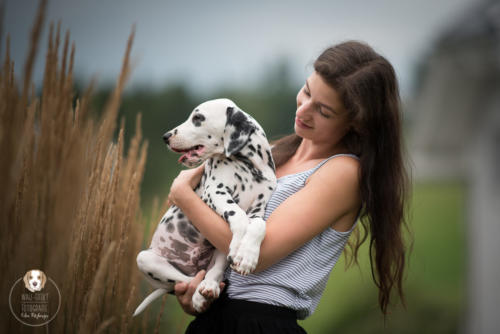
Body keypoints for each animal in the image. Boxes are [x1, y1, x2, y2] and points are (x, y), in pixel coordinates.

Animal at [134, 98, 278, 316]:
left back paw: (210, 286)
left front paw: (247, 256)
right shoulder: (215, 192)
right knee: (187, 281)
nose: (166, 137)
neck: (250, 167)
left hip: (218, 251)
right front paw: (238, 246)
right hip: (145, 259)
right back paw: (200, 293)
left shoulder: (258, 209)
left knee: (211, 272)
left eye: (198, 118)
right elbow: (238, 216)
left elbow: (258, 227)